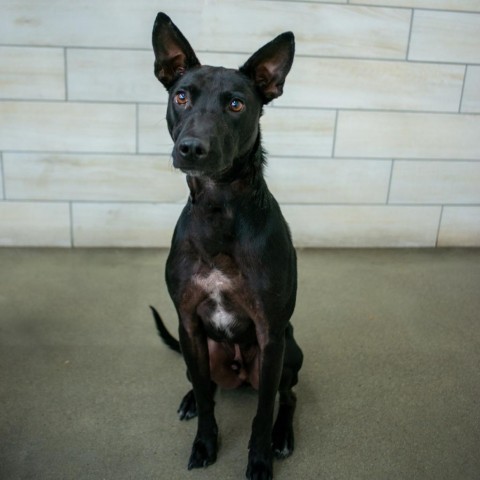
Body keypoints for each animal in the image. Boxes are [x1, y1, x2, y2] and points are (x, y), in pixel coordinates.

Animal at [151, 12, 304, 480]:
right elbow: (206, 400)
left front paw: (260, 457)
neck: (219, 211)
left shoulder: (271, 336)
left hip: (289, 353)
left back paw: (283, 435)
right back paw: (189, 398)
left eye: (236, 104)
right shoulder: (187, 322)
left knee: (287, 397)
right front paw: (205, 442)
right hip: (201, 349)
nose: (191, 148)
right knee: (205, 385)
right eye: (182, 97)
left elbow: (262, 411)